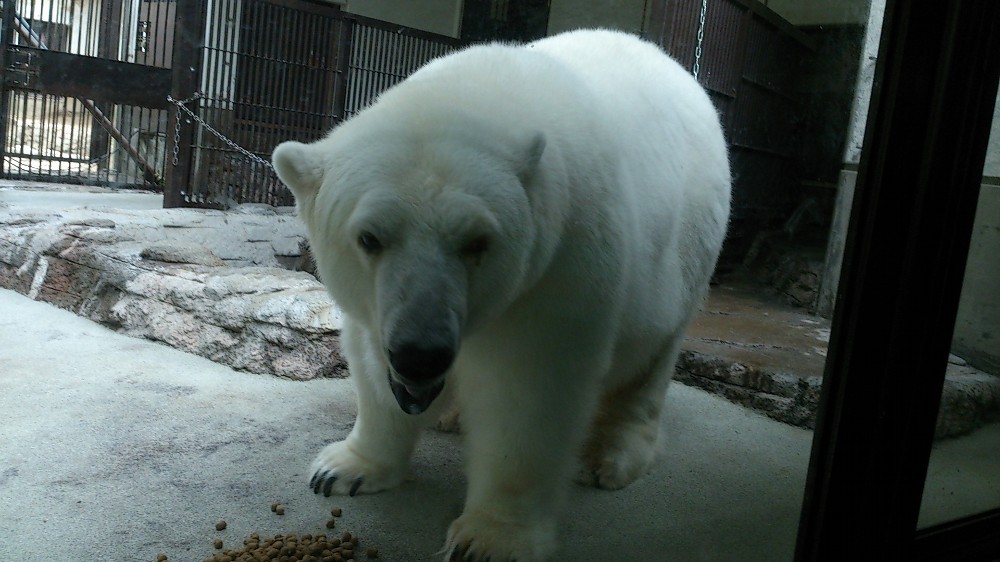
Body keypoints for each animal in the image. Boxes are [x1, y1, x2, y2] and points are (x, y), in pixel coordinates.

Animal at [270, 27, 732, 560]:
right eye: (369, 237)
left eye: (477, 242)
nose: (421, 355)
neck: (478, 90)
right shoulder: (380, 306)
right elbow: (370, 359)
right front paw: (343, 468)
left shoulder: (560, 259)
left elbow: (529, 388)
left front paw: (490, 538)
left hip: (682, 258)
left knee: (650, 362)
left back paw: (612, 454)